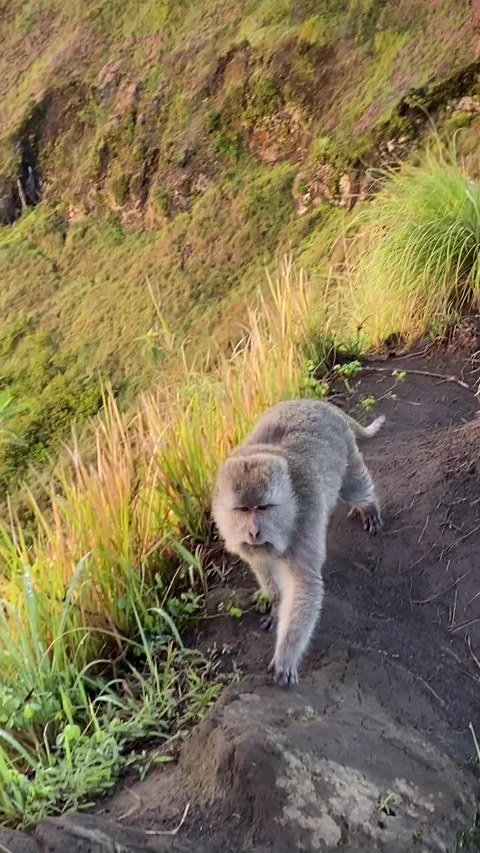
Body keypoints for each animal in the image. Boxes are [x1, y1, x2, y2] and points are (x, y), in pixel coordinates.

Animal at [211, 399, 385, 687]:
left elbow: (304, 585)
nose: (253, 532)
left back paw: (367, 504)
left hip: (344, 445)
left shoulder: (305, 520)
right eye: (243, 510)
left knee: (353, 486)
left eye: (263, 507)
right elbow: (263, 566)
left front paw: (286, 655)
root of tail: (315, 402)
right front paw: (275, 601)